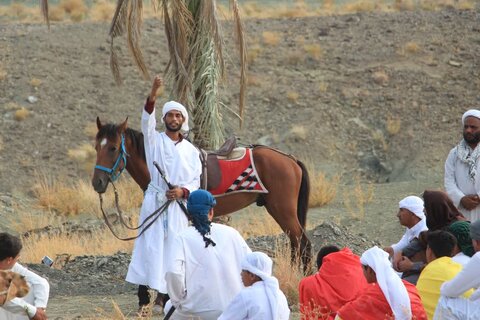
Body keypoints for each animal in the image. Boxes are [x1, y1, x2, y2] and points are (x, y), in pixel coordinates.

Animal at [92, 117, 314, 268]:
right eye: (96, 147)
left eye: (113, 148)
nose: (97, 182)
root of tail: (290, 159)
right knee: (296, 244)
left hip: (282, 209)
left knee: (302, 243)